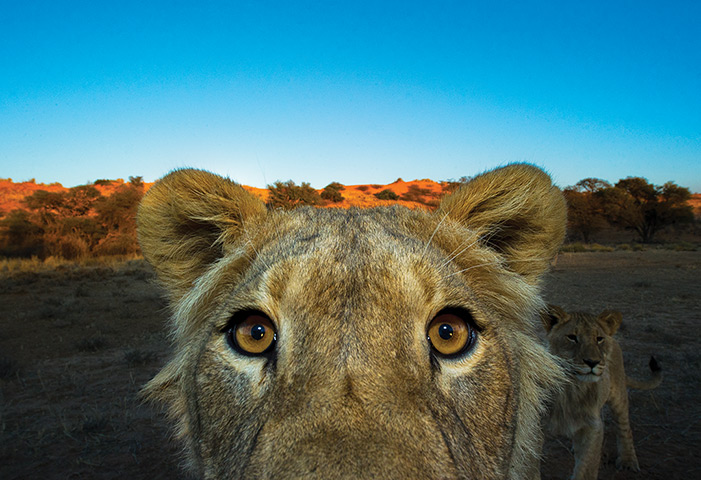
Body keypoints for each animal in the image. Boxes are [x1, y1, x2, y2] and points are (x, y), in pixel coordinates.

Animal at [541, 306, 662, 480]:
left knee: (625, 428)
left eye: (599, 339)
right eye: (572, 337)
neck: (572, 387)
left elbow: (586, 469)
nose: (592, 362)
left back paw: (628, 461)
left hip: (619, 397)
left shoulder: (594, 426)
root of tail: (614, 339)